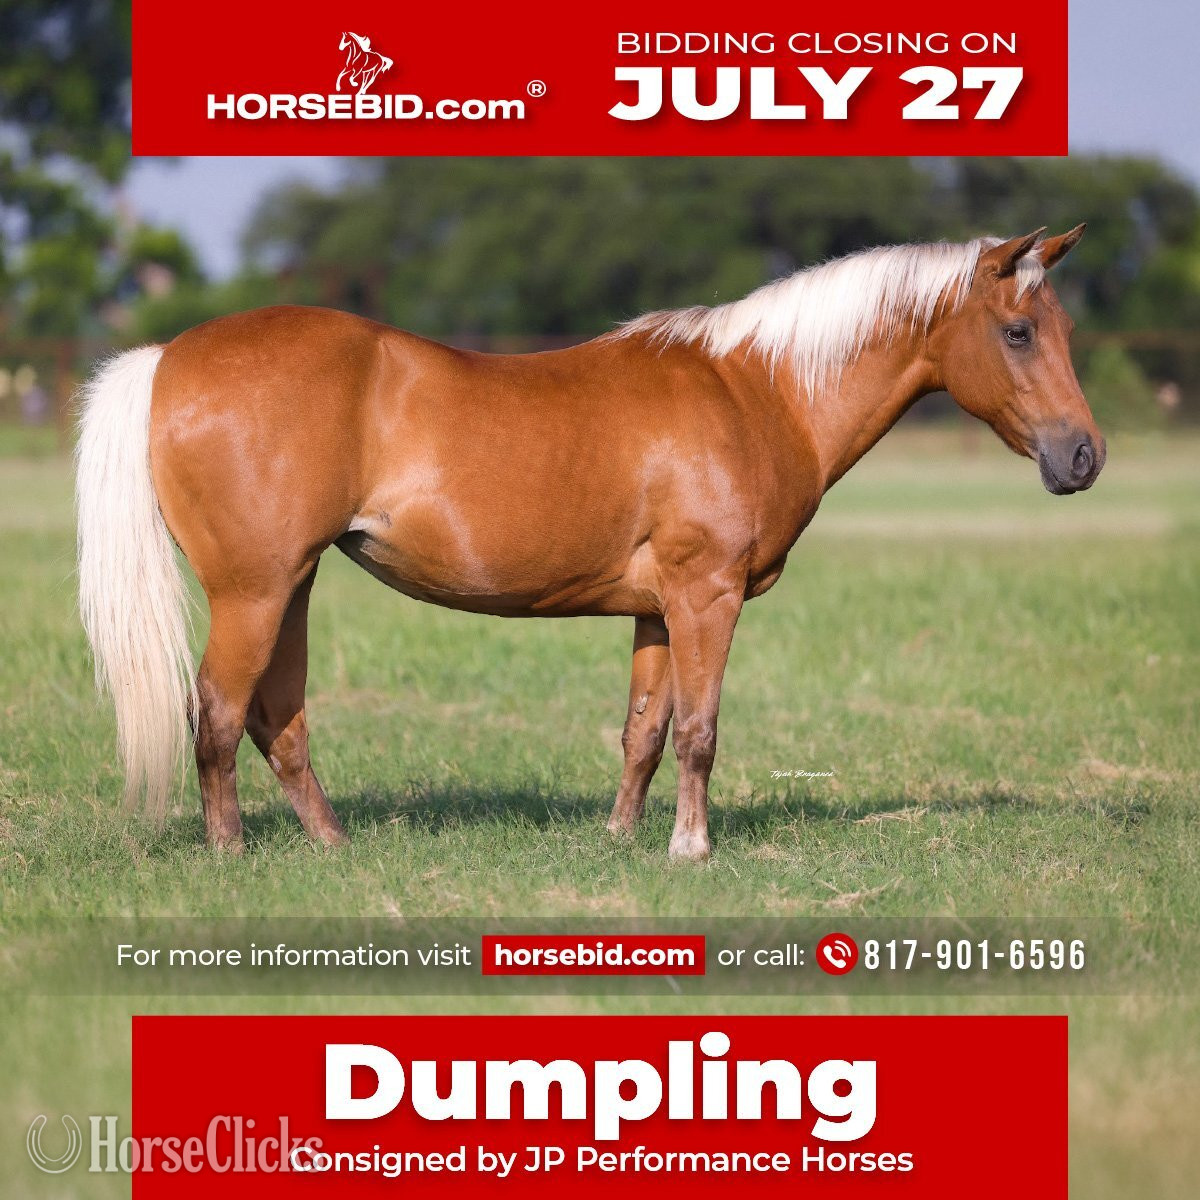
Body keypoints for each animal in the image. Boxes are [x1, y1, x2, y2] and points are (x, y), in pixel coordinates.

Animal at [75, 227, 1103, 861]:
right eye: (1018, 331)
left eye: (1060, 326)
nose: (1084, 457)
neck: (756, 390)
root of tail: (167, 358)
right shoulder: (706, 596)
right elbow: (698, 731)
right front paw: (691, 848)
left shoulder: (658, 609)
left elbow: (643, 731)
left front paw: (620, 840)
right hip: (254, 590)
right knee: (215, 711)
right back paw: (229, 852)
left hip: (292, 585)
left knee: (275, 719)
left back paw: (332, 847)